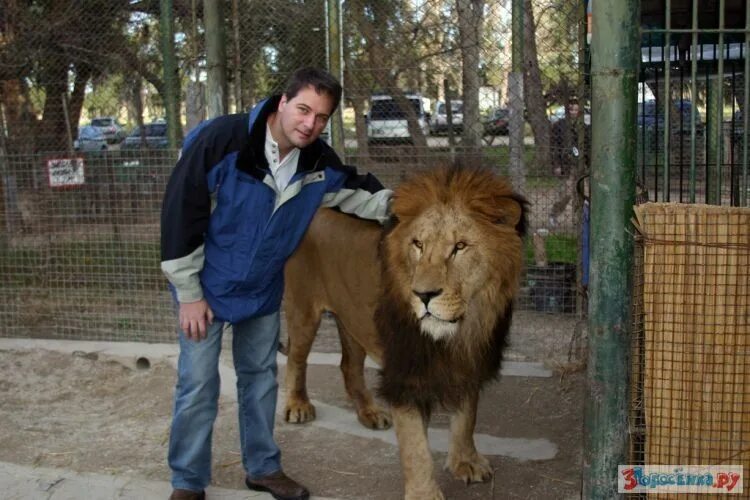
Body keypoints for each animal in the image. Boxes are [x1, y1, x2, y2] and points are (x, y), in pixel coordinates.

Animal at [282, 166, 528, 498]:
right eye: (418, 245)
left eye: (460, 247)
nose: (423, 295)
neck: (460, 331)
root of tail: (315, 209)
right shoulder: (404, 374)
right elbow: (415, 446)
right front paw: (424, 493)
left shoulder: (470, 360)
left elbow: (467, 416)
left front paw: (466, 462)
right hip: (304, 310)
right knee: (296, 359)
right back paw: (298, 406)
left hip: (352, 318)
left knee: (349, 366)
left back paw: (370, 413)